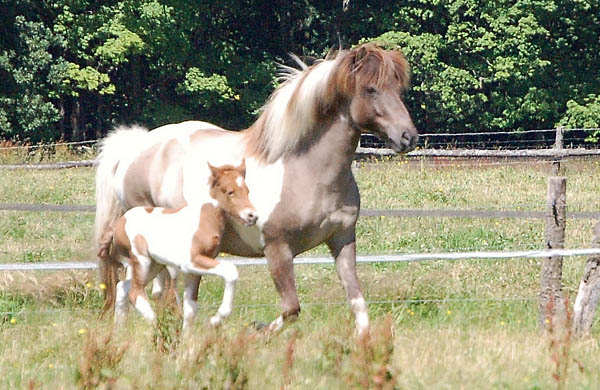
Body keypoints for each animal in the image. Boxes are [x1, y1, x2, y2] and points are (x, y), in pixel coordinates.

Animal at [99, 160, 258, 330]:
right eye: (229, 191)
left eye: (247, 191)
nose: (252, 216)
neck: (203, 219)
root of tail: (120, 222)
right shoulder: (191, 262)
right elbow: (230, 271)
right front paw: (216, 319)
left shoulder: (194, 271)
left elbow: (191, 308)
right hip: (142, 261)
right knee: (135, 292)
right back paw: (155, 324)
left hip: (154, 265)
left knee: (122, 287)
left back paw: (119, 330)